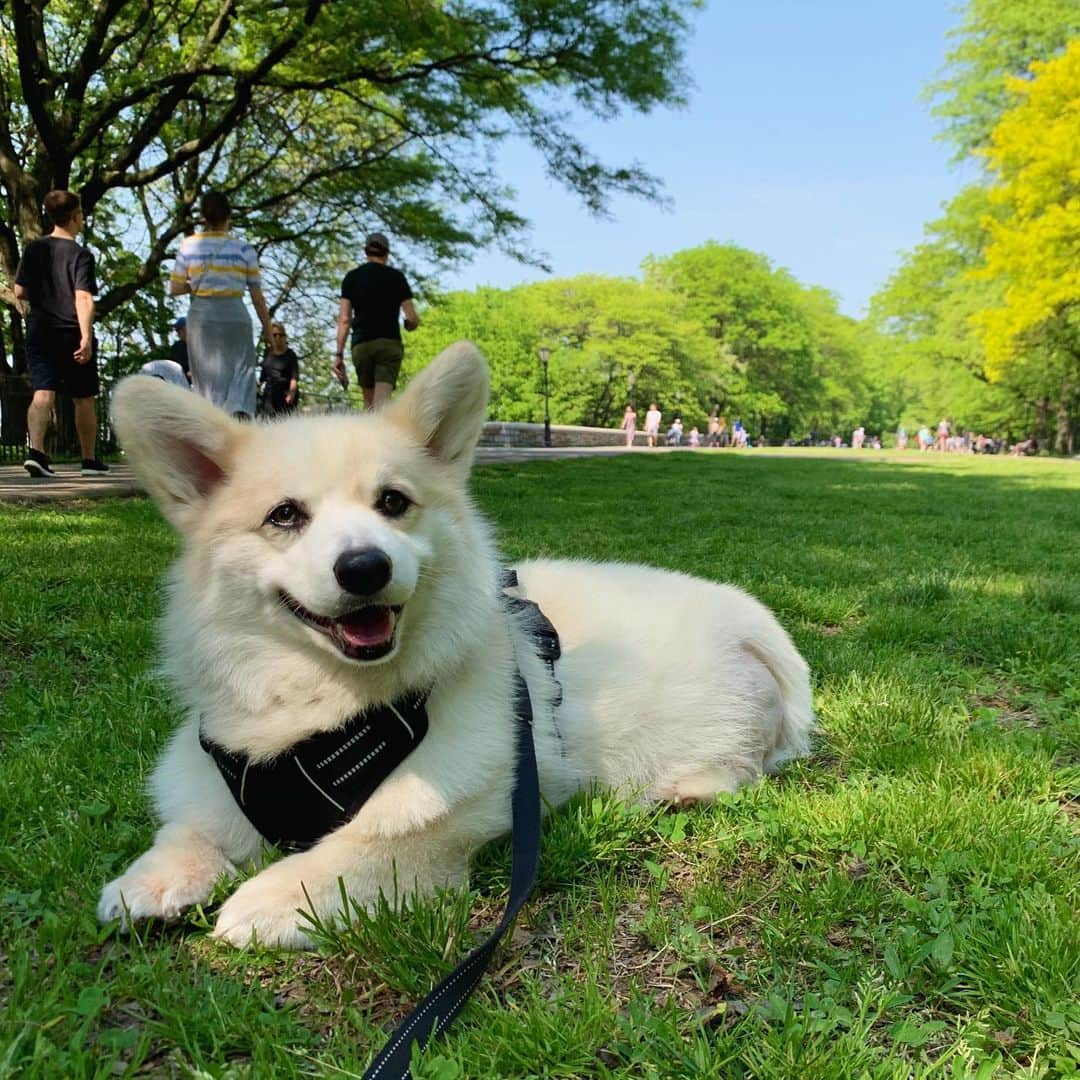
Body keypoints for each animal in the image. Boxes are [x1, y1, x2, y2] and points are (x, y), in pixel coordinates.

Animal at [99, 343, 812, 946]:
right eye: (284, 516)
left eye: (393, 502)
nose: (365, 568)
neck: (331, 706)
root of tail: (754, 625)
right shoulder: (218, 780)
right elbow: (190, 829)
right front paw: (153, 880)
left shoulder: (452, 814)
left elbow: (358, 852)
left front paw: (270, 899)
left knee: (743, 766)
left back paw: (685, 790)